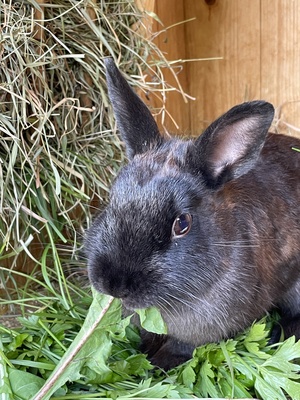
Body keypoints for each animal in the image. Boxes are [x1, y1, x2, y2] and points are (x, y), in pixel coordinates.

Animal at [85, 57, 300, 370]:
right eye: (112, 200)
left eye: (182, 224)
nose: (114, 284)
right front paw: (145, 350)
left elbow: (183, 346)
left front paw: (160, 363)